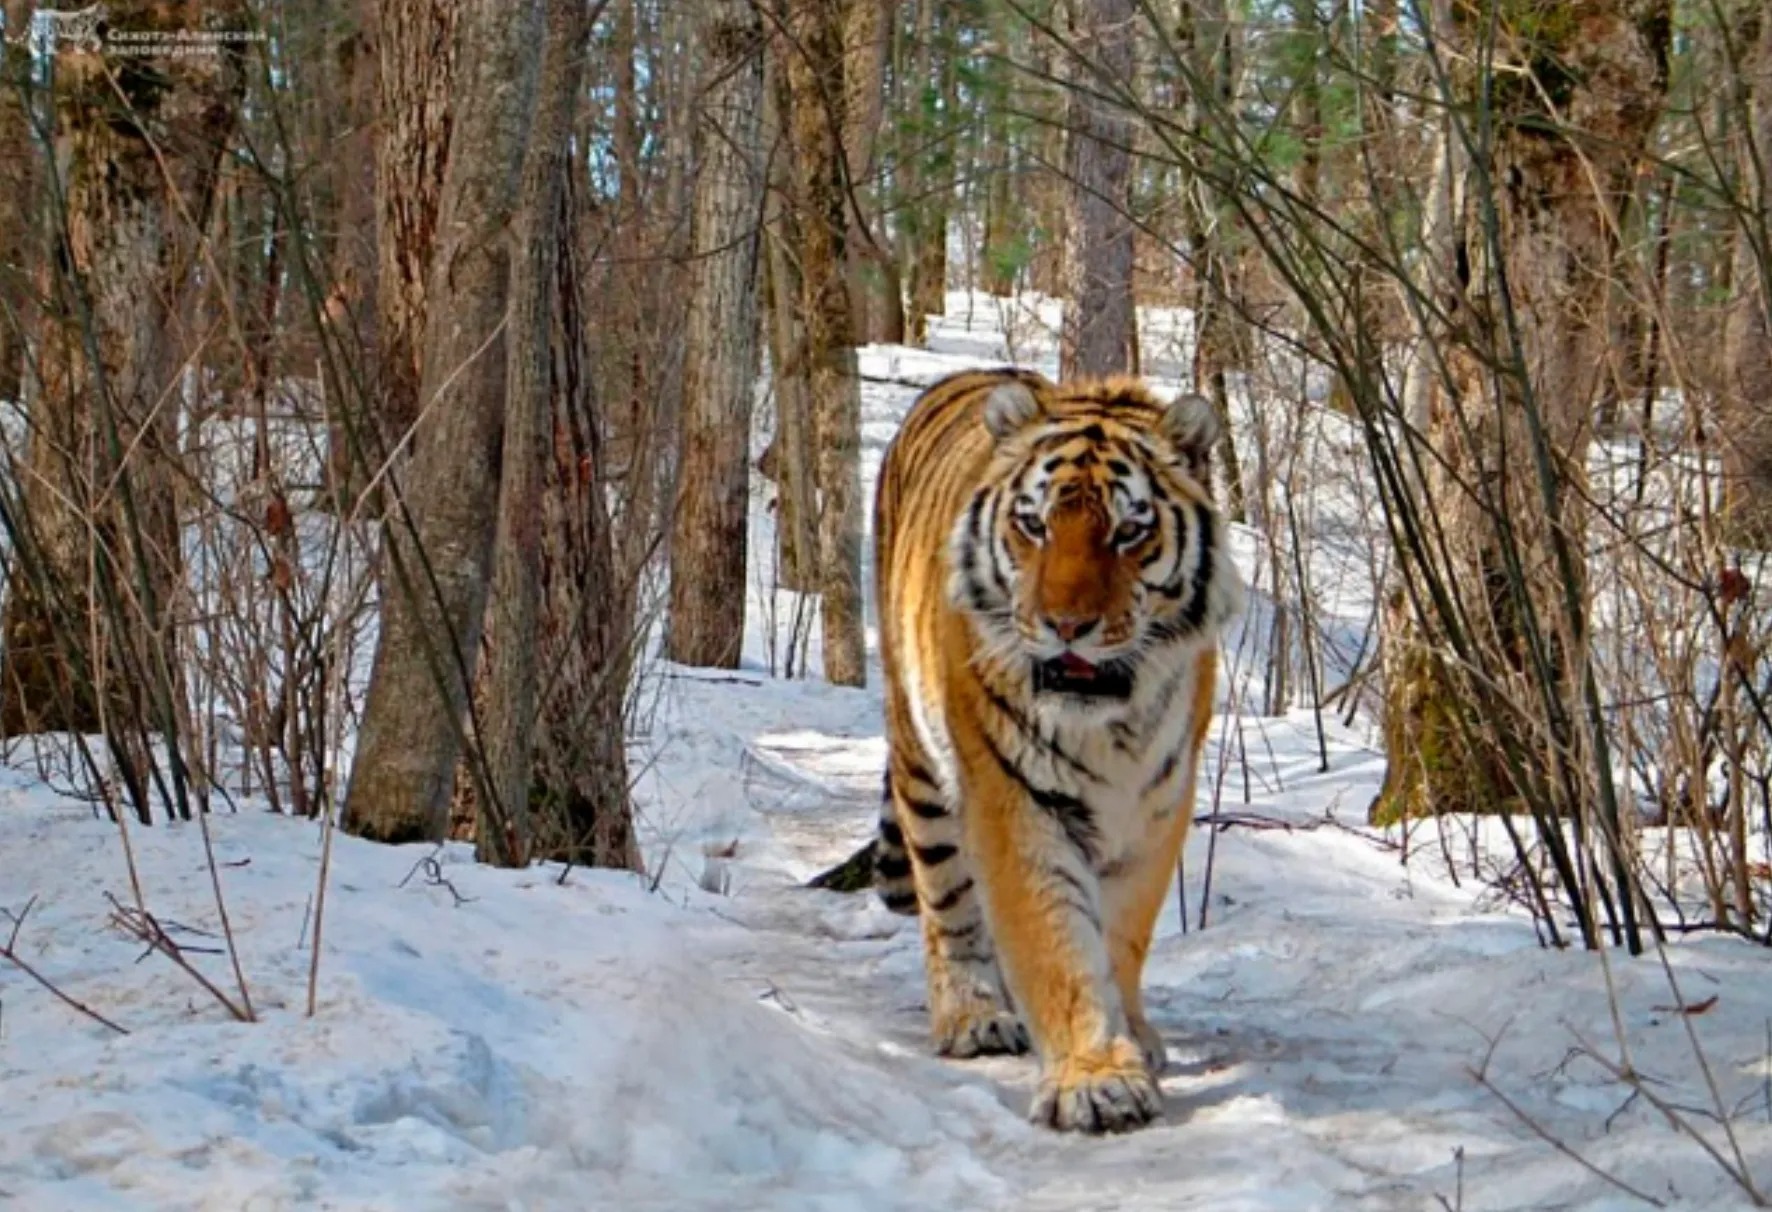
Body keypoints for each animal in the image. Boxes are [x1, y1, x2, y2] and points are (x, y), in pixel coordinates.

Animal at [864, 365, 1240, 1134]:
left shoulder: (1157, 805)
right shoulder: (1014, 798)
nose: (1067, 625)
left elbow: (1120, 936)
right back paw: (973, 1016)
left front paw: (1130, 1037)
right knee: (948, 903)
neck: (1111, 727)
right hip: (920, 763)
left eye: (1130, 530)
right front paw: (1095, 1080)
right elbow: (1055, 941)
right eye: (1033, 524)